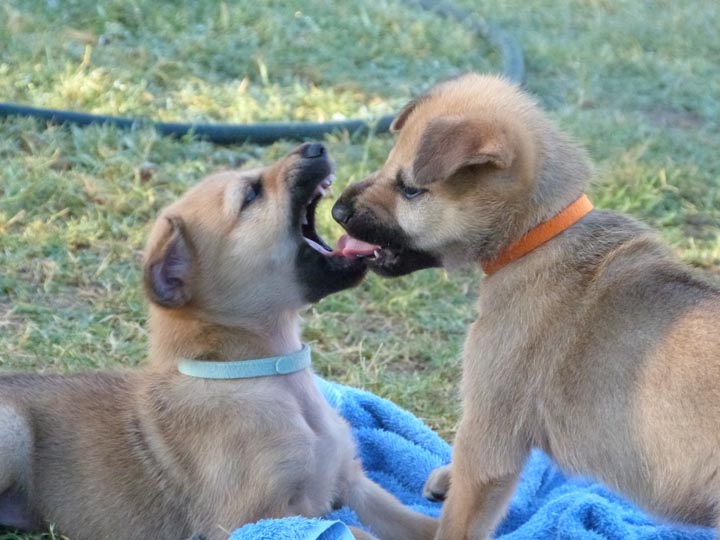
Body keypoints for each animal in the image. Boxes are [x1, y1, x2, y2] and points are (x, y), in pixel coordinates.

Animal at [0, 142, 438, 540]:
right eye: (251, 195)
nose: (316, 146)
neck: (268, 375)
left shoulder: (352, 484)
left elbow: (421, 523)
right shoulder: (260, 516)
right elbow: (358, 534)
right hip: (13, 428)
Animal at [334, 74, 720, 536]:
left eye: (410, 189)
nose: (336, 211)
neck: (538, 236)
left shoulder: (488, 435)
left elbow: (459, 519)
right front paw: (447, 477)